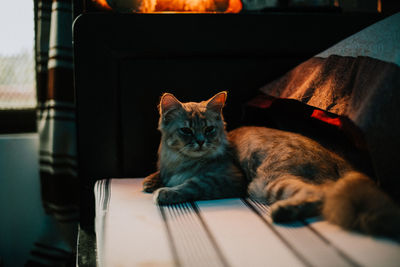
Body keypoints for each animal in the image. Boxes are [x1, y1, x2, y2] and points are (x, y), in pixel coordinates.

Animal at [144, 91, 400, 240]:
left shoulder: (228, 178)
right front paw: (151, 181)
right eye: (186, 130)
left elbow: (191, 184)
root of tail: (334, 155)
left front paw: (165, 192)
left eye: (209, 129)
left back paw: (281, 212)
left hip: (265, 183)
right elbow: (161, 175)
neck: (179, 160)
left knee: (321, 195)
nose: (200, 141)